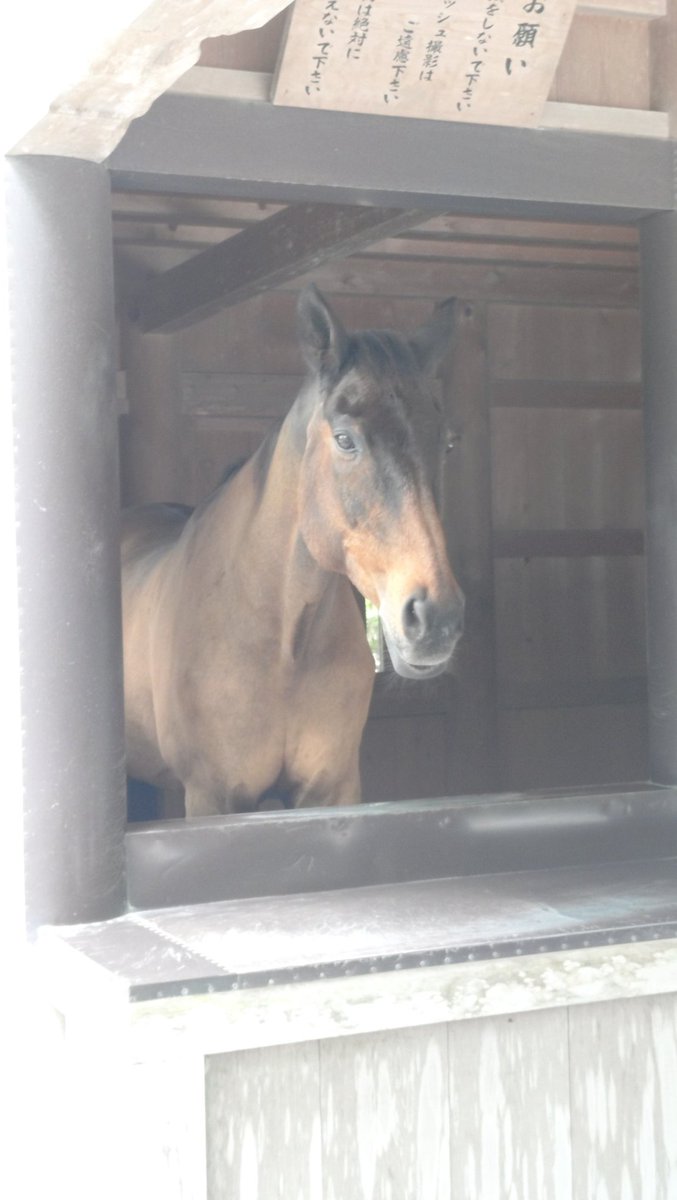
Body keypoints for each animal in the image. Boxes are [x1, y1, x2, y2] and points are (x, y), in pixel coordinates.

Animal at [121, 285, 465, 816]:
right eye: (344, 439)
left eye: (446, 443)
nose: (435, 619)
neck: (282, 645)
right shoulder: (211, 797)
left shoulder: (331, 790)